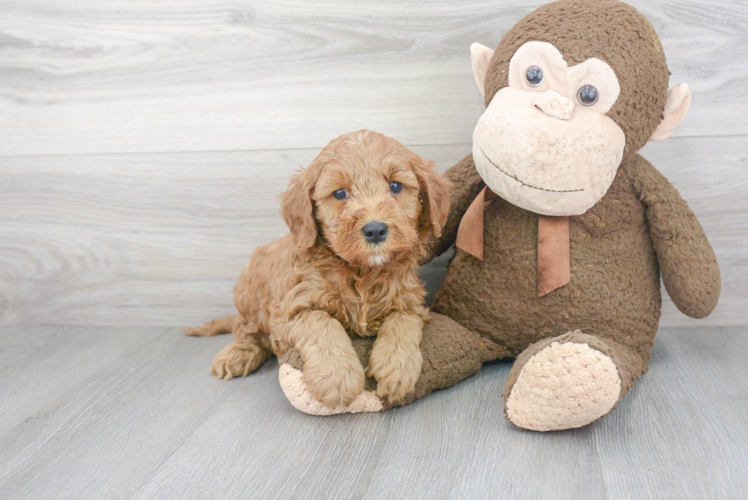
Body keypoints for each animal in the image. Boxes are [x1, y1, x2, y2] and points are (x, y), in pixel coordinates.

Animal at [186, 131, 450, 408]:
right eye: (340, 193)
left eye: (396, 186)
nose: (375, 230)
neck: (362, 271)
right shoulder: (291, 307)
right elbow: (320, 323)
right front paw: (337, 377)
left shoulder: (411, 300)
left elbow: (402, 321)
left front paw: (397, 368)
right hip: (248, 294)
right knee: (247, 332)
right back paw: (237, 354)